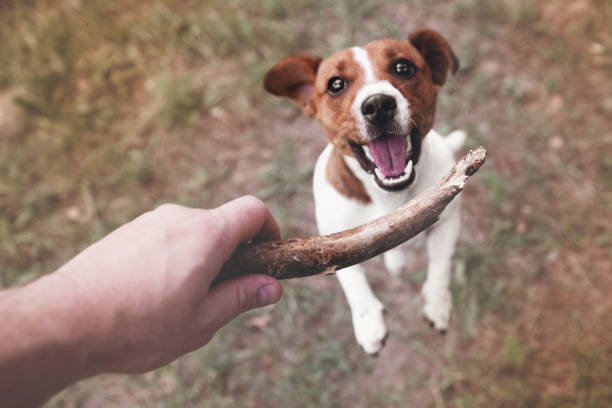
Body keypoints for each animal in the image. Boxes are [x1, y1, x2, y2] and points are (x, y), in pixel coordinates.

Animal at [262, 29, 464, 354]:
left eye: (403, 67)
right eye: (335, 84)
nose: (378, 105)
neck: (388, 196)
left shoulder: (447, 221)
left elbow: (441, 264)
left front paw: (437, 302)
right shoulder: (333, 244)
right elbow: (353, 283)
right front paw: (369, 322)